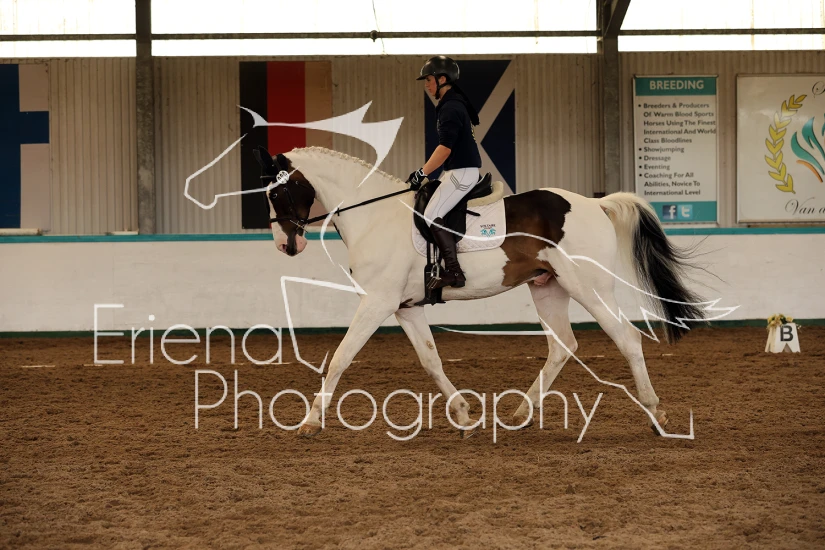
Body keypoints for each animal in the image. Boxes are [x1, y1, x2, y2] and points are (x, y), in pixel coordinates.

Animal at [256, 145, 707, 438]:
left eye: (277, 192)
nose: (284, 246)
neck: (373, 216)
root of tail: (596, 204)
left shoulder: (377, 303)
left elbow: (340, 358)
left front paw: (310, 422)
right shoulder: (405, 307)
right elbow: (431, 361)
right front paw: (464, 415)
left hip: (589, 286)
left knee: (627, 339)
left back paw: (657, 416)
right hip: (549, 287)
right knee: (563, 345)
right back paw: (521, 414)